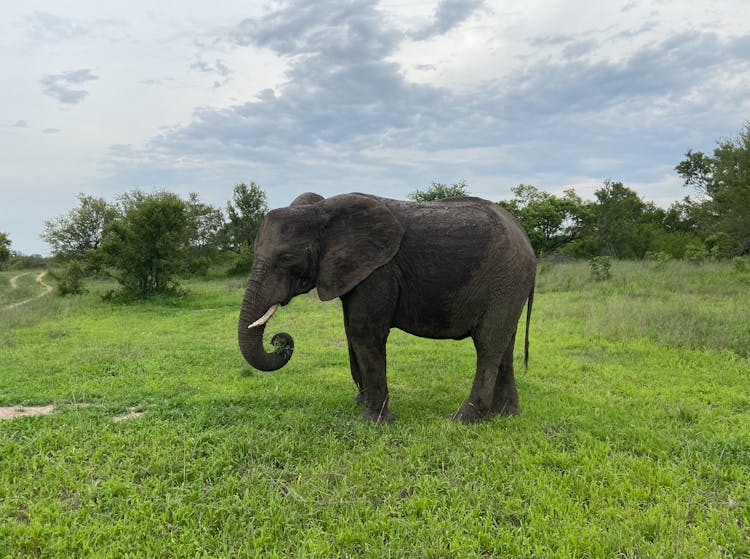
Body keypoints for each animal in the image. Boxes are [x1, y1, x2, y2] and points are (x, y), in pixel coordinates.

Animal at [238, 194, 536, 424]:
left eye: (287, 258)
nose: (279, 340)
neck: (321, 213)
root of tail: (526, 241)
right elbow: (350, 332)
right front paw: (360, 402)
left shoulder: (380, 272)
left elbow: (364, 333)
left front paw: (373, 420)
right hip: (510, 285)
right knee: (504, 345)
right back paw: (506, 415)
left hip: (503, 280)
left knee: (488, 345)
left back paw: (463, 419)